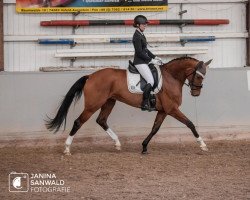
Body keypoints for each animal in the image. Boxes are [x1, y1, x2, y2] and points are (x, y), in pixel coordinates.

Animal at [46, 56, 212, 155]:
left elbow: (155, 129)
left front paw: (144, 147)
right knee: (78, 122)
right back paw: (67, 148)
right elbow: (190, 124)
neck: (171, 77)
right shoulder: (172, 109)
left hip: (109, 102)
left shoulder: (163, 111)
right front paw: (202, 144)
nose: (196, 93)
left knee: (101, 120)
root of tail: (91, 76)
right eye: (198, 76)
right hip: (93, 105)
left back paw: (117, 143)